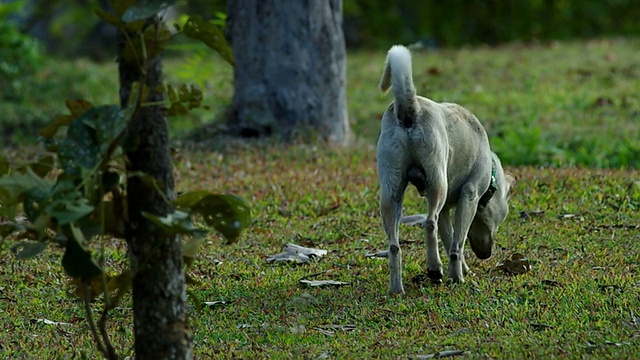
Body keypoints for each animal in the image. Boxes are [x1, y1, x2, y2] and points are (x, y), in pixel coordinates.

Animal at [378, 45, 512, 294]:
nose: (487, 255)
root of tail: (410, 107)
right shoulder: (469, 195)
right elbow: (457, 242)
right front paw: (457, 276)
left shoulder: (448, 209)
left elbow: (450, 239)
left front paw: (462, 270)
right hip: (436, 181)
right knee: (429, 223)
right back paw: (434, 269)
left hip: (391, 190)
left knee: (394, 245)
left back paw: (396, 289)